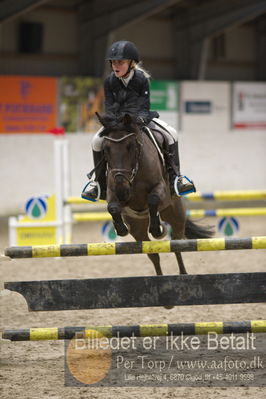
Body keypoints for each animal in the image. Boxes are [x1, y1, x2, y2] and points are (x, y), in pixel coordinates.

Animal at [97, 112, 212, 276]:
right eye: (106, 149)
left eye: (130, 146)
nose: (122, 191)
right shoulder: (114, 192)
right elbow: (113, 207)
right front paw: (120, 228)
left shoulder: (161, 189)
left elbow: (153, 199)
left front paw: (157, 229)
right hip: (138, 227)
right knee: (153, 254)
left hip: (176, 217)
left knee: (176, 246)